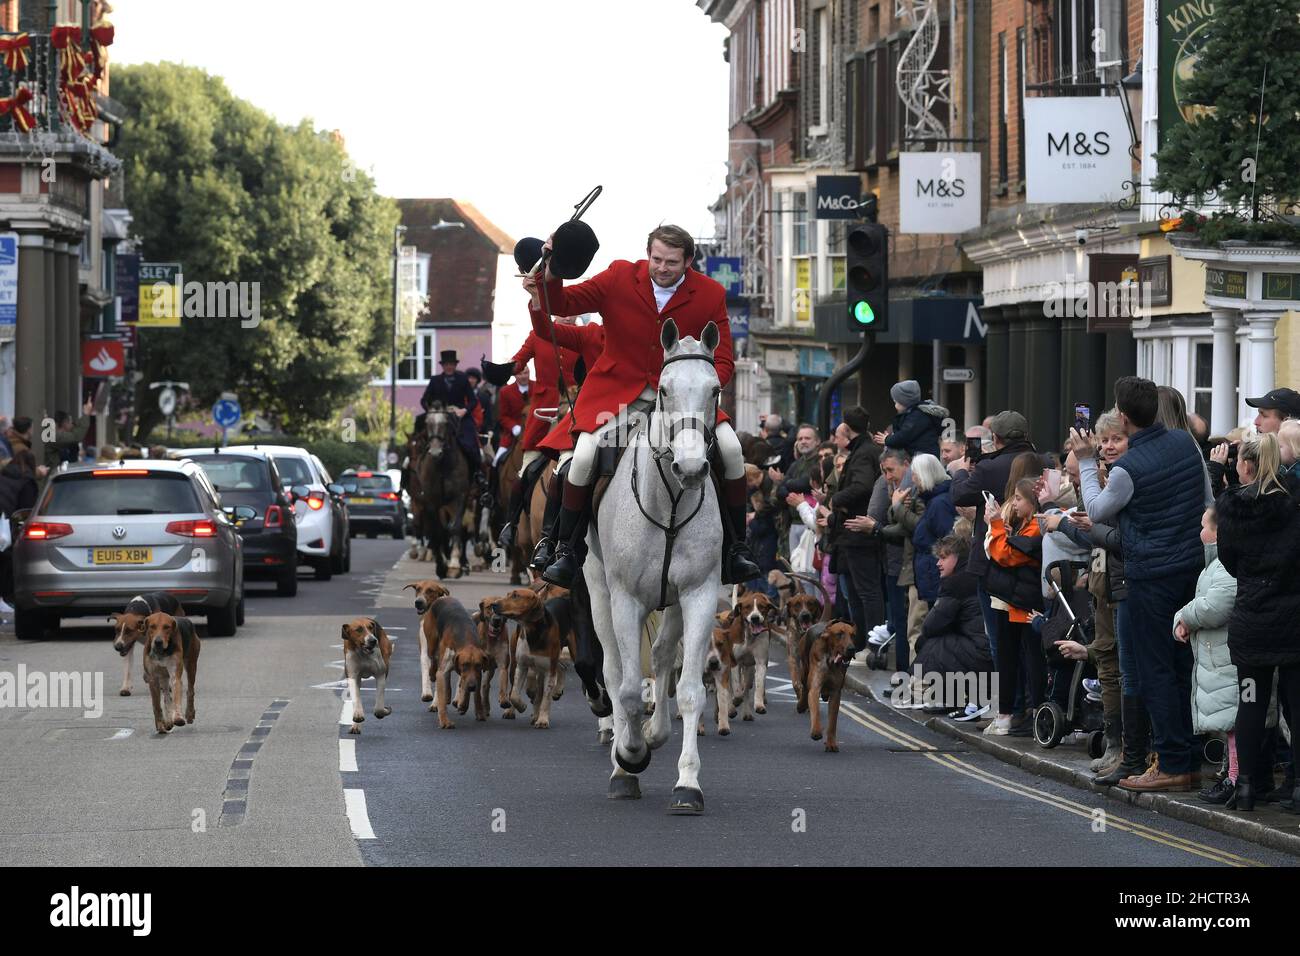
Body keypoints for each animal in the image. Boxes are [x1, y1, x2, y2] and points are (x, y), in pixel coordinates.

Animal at [585, 321, 728, 816]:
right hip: (599, 593)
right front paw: (628, 759)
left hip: (673, 603)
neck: (670, 502)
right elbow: (627, 688)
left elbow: (689, 691)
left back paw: (655, 732)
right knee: (614, 670)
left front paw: (688, 784)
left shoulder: (699, 593)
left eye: (715, 389)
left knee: (665, 654)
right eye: (664, 390)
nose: (692, 467)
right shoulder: (625, 598)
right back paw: (623, 750)